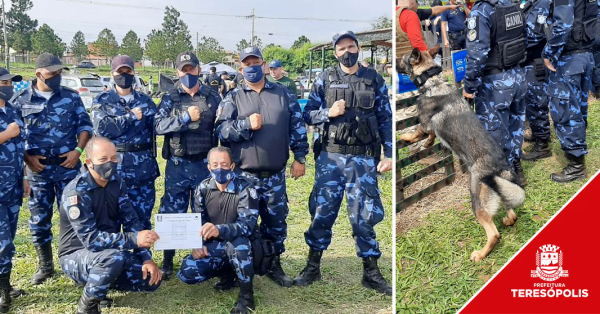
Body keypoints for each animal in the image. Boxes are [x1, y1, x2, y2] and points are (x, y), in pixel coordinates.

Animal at [398, 47, 524, 262]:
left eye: (402, 59)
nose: (387, 65)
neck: (433, 81)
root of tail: (500, 167)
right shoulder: (430, 127)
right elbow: (431, 135)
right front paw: (428, 143)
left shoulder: (424, 123)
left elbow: (418, 133)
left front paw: (406, 137)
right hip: (501, 189)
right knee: (512, 213)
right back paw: (508, 220)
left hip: (476, 199)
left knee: (494, 234)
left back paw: (480, 254)